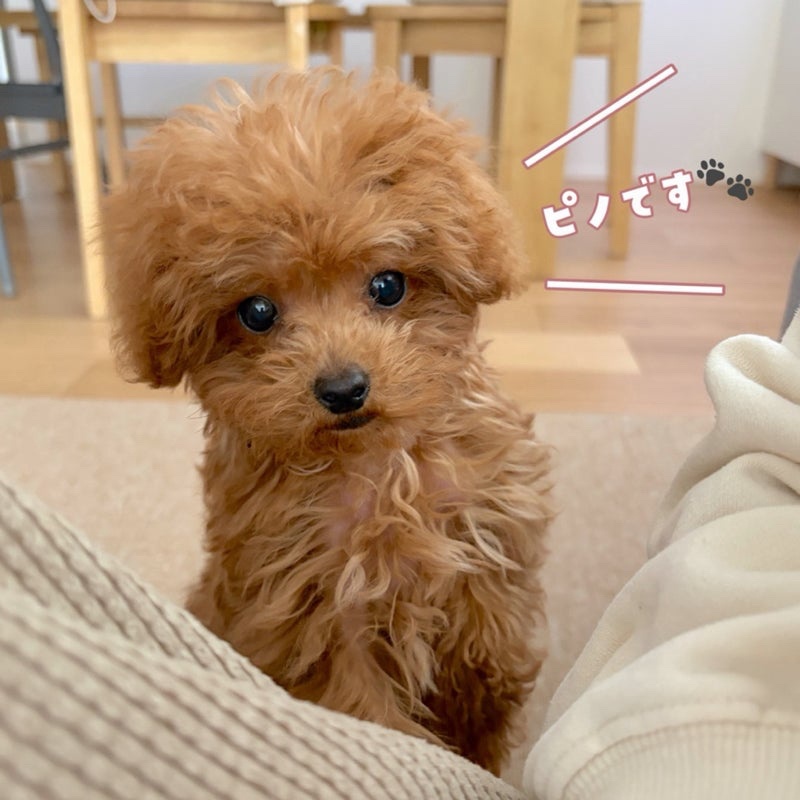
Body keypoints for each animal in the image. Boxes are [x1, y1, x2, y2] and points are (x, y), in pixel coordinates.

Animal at [104, 68, 553, 774]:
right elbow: (362, 703)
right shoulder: (314, 605)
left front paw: (484, 714)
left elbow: (492, 643)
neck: (377, 467)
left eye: (388, 286)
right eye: (257, 312)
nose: (343, 389)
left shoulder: (492, 528)